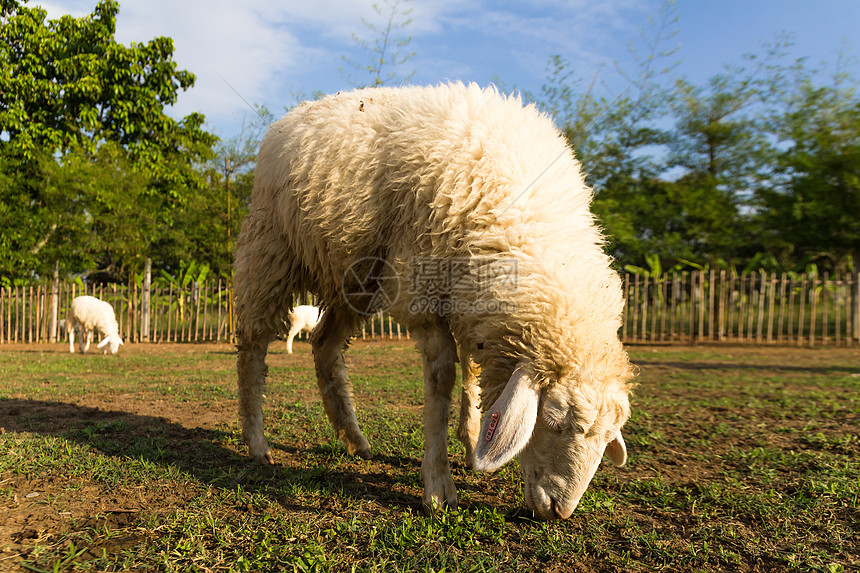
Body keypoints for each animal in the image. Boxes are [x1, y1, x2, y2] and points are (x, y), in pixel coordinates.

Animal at [232, 81, 636, 520]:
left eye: (607, 437)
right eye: (556, 421)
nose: (559, 510)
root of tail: (296, 114)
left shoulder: (469, 296)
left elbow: (472, 372)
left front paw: (472, 440)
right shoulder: (420, 292)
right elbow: (442, 379)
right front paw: (439, 485)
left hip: (353, 276)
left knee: (324, 345)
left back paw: (355, 439)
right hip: (272, 248)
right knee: (253, 347)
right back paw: (257, 443)